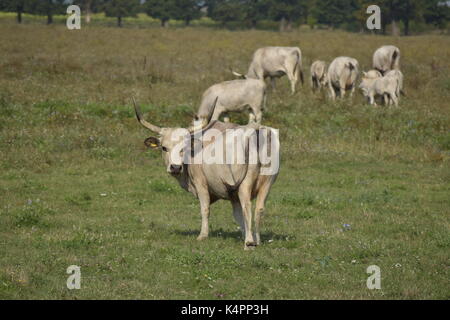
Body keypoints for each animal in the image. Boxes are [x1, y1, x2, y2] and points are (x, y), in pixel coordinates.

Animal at [134, 99, 280, 250]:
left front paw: (202, 235)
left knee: (248, 207)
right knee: (259, 209)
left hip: (245, 183)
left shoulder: (201, 183)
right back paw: (257, 240)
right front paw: (244, 234)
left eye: (183, 148)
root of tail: (257, 130)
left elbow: (205, 209)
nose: (175, 167)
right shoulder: (233, 195)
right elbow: (238, 215)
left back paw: (249, 243)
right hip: (267, 182)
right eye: (164, 148)